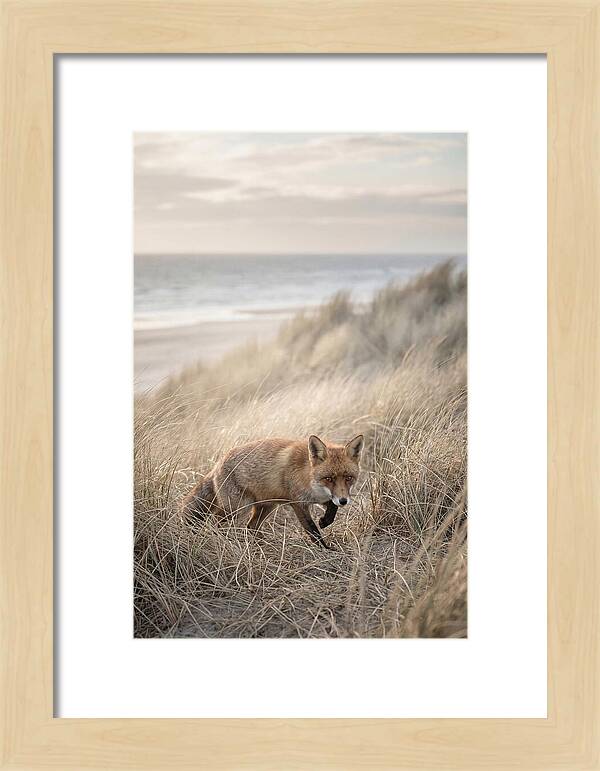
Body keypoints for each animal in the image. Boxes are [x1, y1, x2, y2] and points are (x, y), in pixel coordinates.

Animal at [182, 434, 364, 548]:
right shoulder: (298, 503)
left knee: (251, 526)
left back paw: (261, 544)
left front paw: (325, 521)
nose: (344, 501)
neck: (309, 477)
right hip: (238, 508)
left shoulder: (324, 498)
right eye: (329, 479)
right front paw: (325, 549)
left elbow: (332, 509)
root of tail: (217, 463)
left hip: (266, 506)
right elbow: (312, 530)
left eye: (348, 478)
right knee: (215, 521)